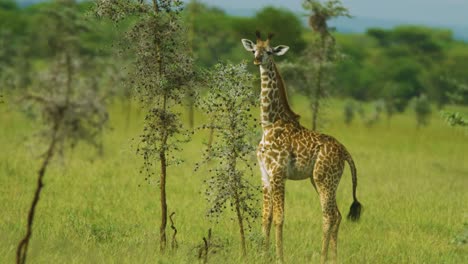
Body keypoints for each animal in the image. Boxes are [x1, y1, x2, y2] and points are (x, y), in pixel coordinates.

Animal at [241, 31, 362, 264]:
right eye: (254, 50)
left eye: (269, 51)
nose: (258, 59)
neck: (269, 124)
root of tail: (344, 151)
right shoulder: (265, 175)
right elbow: (266, 217)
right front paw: (263, 255)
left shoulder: (278, 173)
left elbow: (279, 218)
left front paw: (279, 258)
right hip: (319, 180)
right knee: (337, 214)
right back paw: (334, 258)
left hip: (324, 180)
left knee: (329, 215)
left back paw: (323, 258)